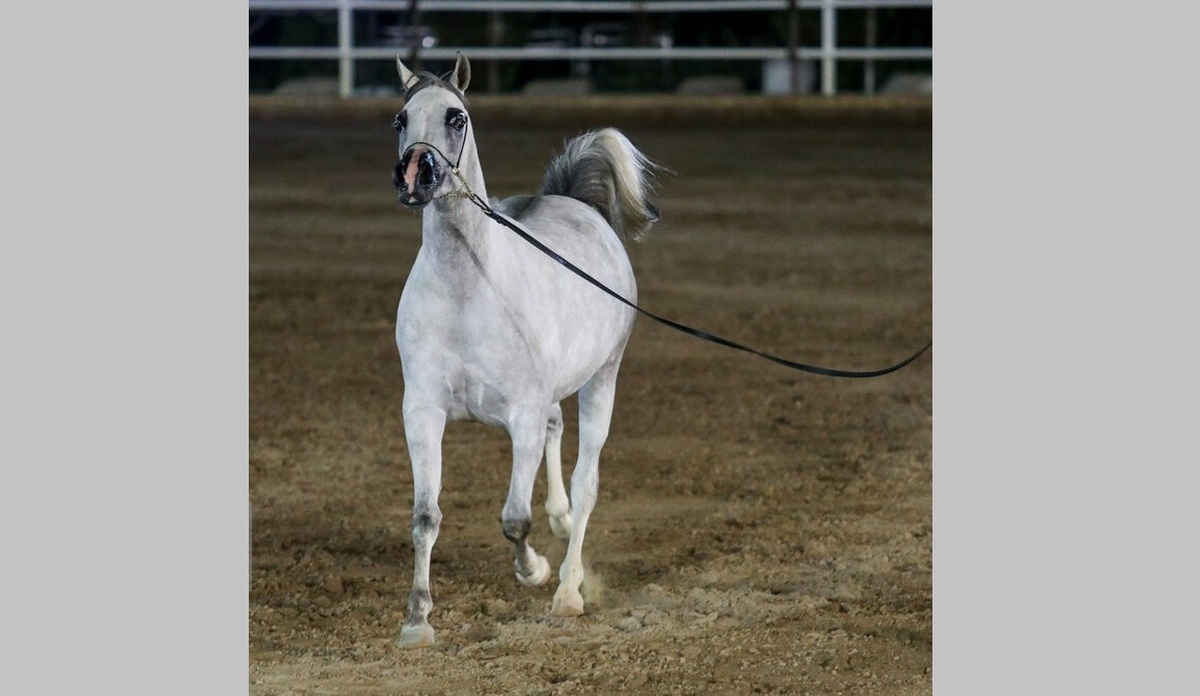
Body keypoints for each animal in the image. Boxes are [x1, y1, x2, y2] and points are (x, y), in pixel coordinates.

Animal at [391, 53, 657, 648]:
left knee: (586, 482)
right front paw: (417, 619)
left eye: (457, 118)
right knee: (560, 437)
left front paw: (532, 570)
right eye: (400, 119)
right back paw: (560, 521)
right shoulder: (422, 413)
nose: (417, 174)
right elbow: (424, 517)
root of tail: (577, 204)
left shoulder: (523, 418)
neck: (469, 290)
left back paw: (568, 591)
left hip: (603, 379)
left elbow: (514, 517)